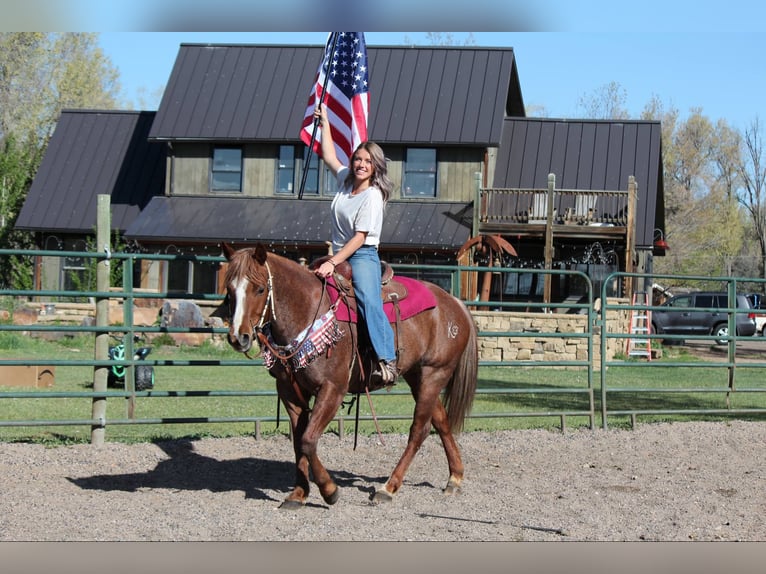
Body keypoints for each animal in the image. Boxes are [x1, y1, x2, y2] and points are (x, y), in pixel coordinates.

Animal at [221, 243, 478, 508]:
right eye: (230, 289)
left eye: (260, 288)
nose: (238, 337)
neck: (307, 310)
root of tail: (455, 303)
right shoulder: (289, 390)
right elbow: (298, 441)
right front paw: (299, 494)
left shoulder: (332, 389)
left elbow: (308, 440)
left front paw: (329, 490)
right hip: (418, 376)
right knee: (441, 422)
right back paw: (454, 478)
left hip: (434, 373)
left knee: (419, 430)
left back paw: (388, 488)